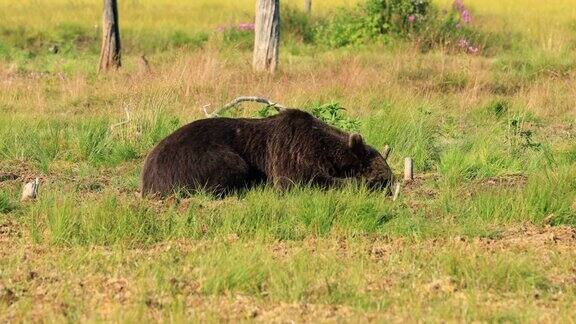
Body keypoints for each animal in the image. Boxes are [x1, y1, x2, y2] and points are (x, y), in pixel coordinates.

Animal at [141, 109, 392, 196]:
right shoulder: (291, 150)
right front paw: (359, 183)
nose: (389, 183)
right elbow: (299, 179)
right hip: (197, 158)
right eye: (385, 178)